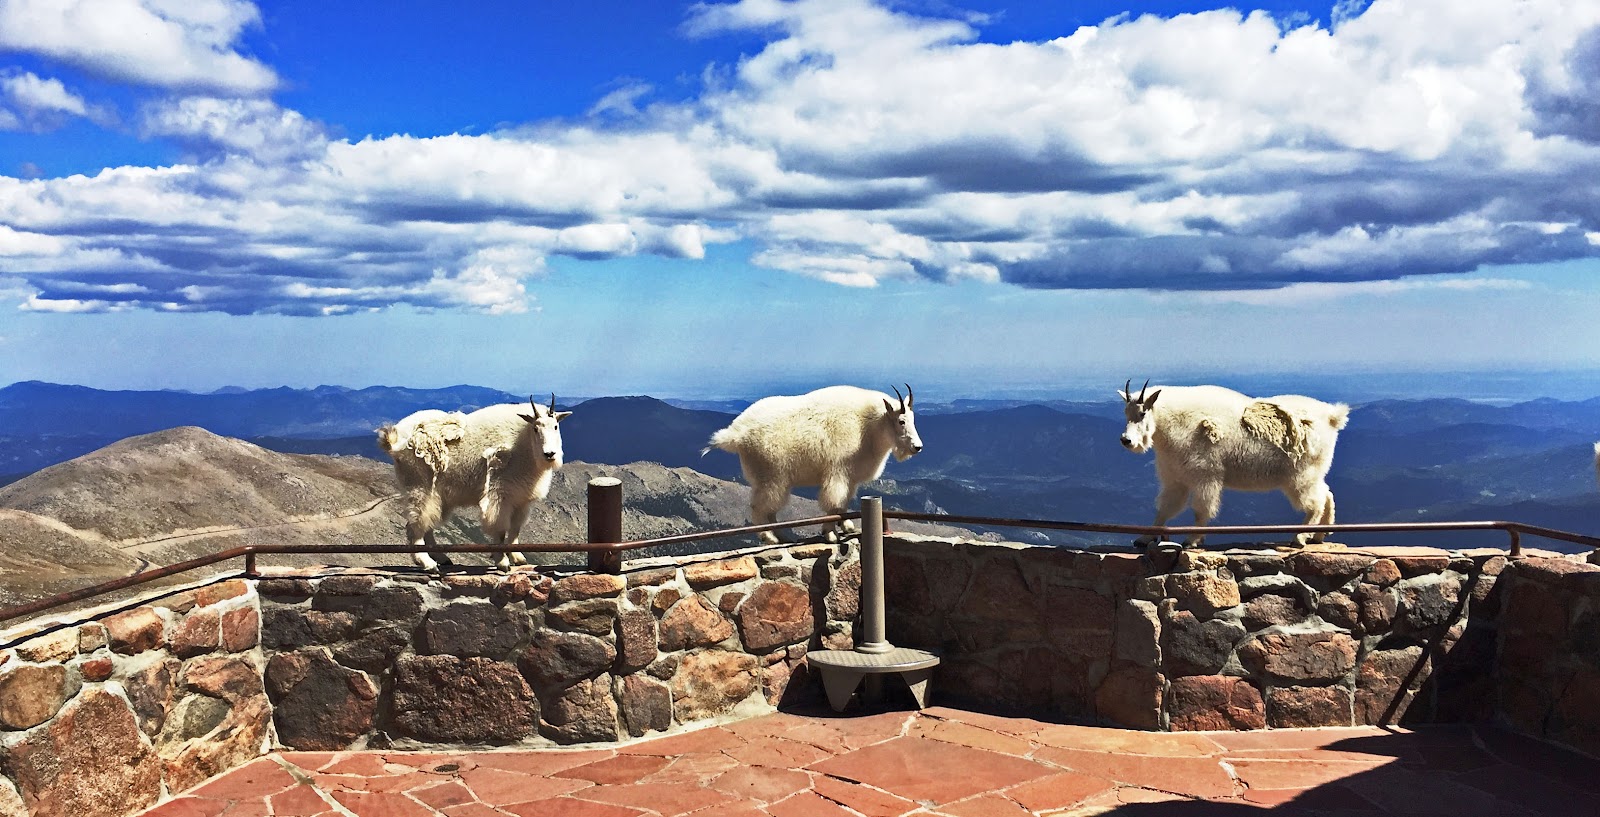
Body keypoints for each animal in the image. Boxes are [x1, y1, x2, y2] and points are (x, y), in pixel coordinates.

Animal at [374, 396, 576, 575]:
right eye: (535, 428)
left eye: (555, 426)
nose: (549, 454)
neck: (523, 446)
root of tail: (395, 443)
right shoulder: (499, 495)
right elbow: (500, 530)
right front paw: (502, 562)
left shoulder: (521, 500)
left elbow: (515, 530)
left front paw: (518, 558)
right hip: (420, 487)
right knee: (414, 526)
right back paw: (428, 564)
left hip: (434, 496)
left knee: (427, 524)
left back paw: (442, 559)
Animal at [704, 383, 921, 543]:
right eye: (901, 421)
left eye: (913, 419)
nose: (917, 447)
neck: (868, 426)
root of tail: (736, 435)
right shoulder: (837, 473)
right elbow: (833, 503)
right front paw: (830, 534)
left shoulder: (850, 478)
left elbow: (843, 503)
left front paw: (848, 527)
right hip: (771, 477)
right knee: (759, 507)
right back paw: (769, 537)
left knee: (770, 509)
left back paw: (783, 536)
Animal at [1126, 378, 1350, 546]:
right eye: (1126, 413)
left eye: (1142, 413)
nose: (1125, 440)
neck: (1173, 423)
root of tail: (1332, 417)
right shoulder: (1175, 478)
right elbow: (1165, 508)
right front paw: (1143, 539)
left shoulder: (1206, 475)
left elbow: (1201, 509)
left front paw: (1192, 540)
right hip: (1313, 473)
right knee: (1327, 493)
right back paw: (1319, 535)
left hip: (1301, 475)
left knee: (1315, 502)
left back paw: (1300, 537)